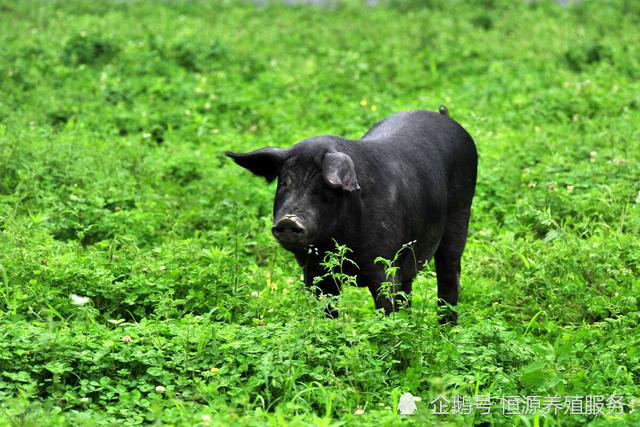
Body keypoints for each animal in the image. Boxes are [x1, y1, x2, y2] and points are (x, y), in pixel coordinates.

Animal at [225, 108, 476, 322]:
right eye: (285, 182)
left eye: (324, 187)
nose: (289, 220)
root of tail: (445, 116)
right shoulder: (315, 272)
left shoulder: (384, 265)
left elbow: (386, 310)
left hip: (460, 212)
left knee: (449, 274)